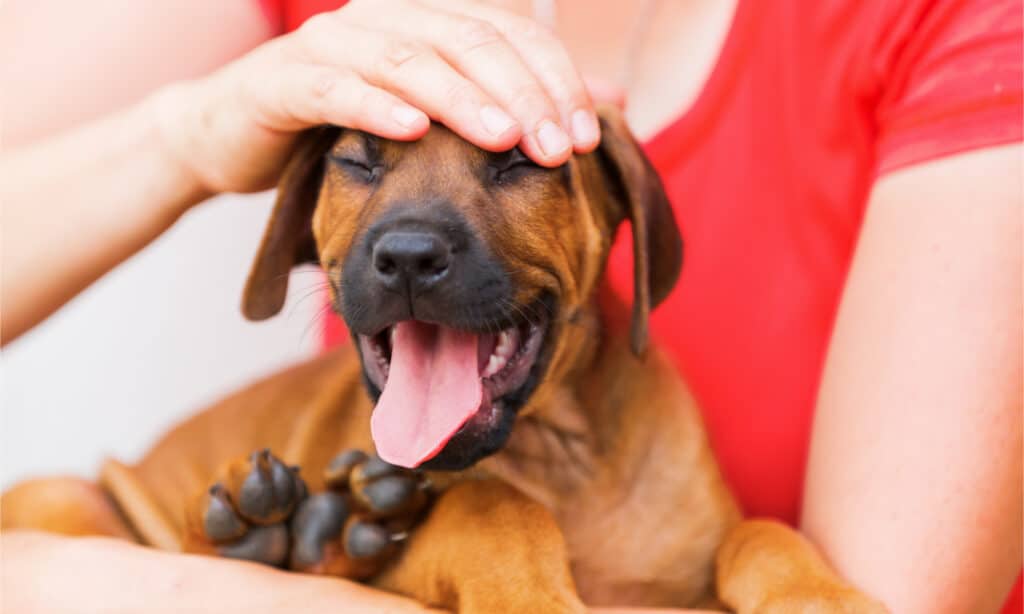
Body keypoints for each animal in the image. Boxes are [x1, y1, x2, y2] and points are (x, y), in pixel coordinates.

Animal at [4, 110, 884, 614]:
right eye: (358, 162)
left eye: (522, 163)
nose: (407, 257)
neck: (559, 459)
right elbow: (488, 507)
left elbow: (763, 534)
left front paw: (822, 597)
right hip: (67, 495)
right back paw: (263, 528)